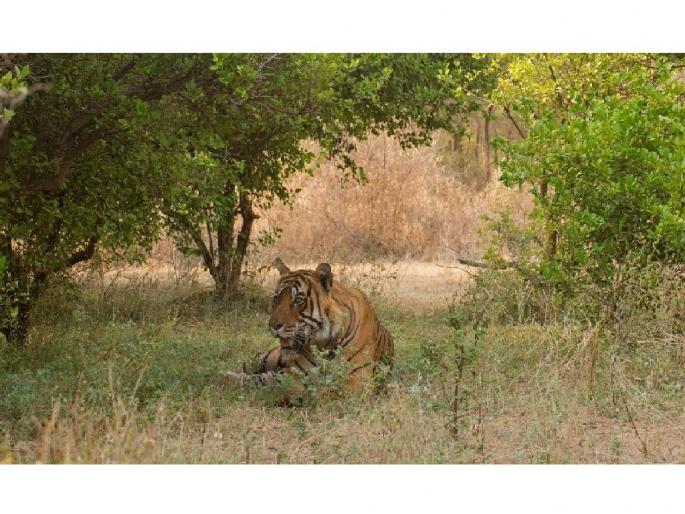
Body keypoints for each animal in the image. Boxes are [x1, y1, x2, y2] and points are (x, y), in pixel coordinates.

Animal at [226, 258, 394, 393]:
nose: (273, 326)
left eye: (298, 301)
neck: (325, 343)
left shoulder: (355, 380)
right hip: (269, 358)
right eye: (276, 298)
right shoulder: (295, 373)